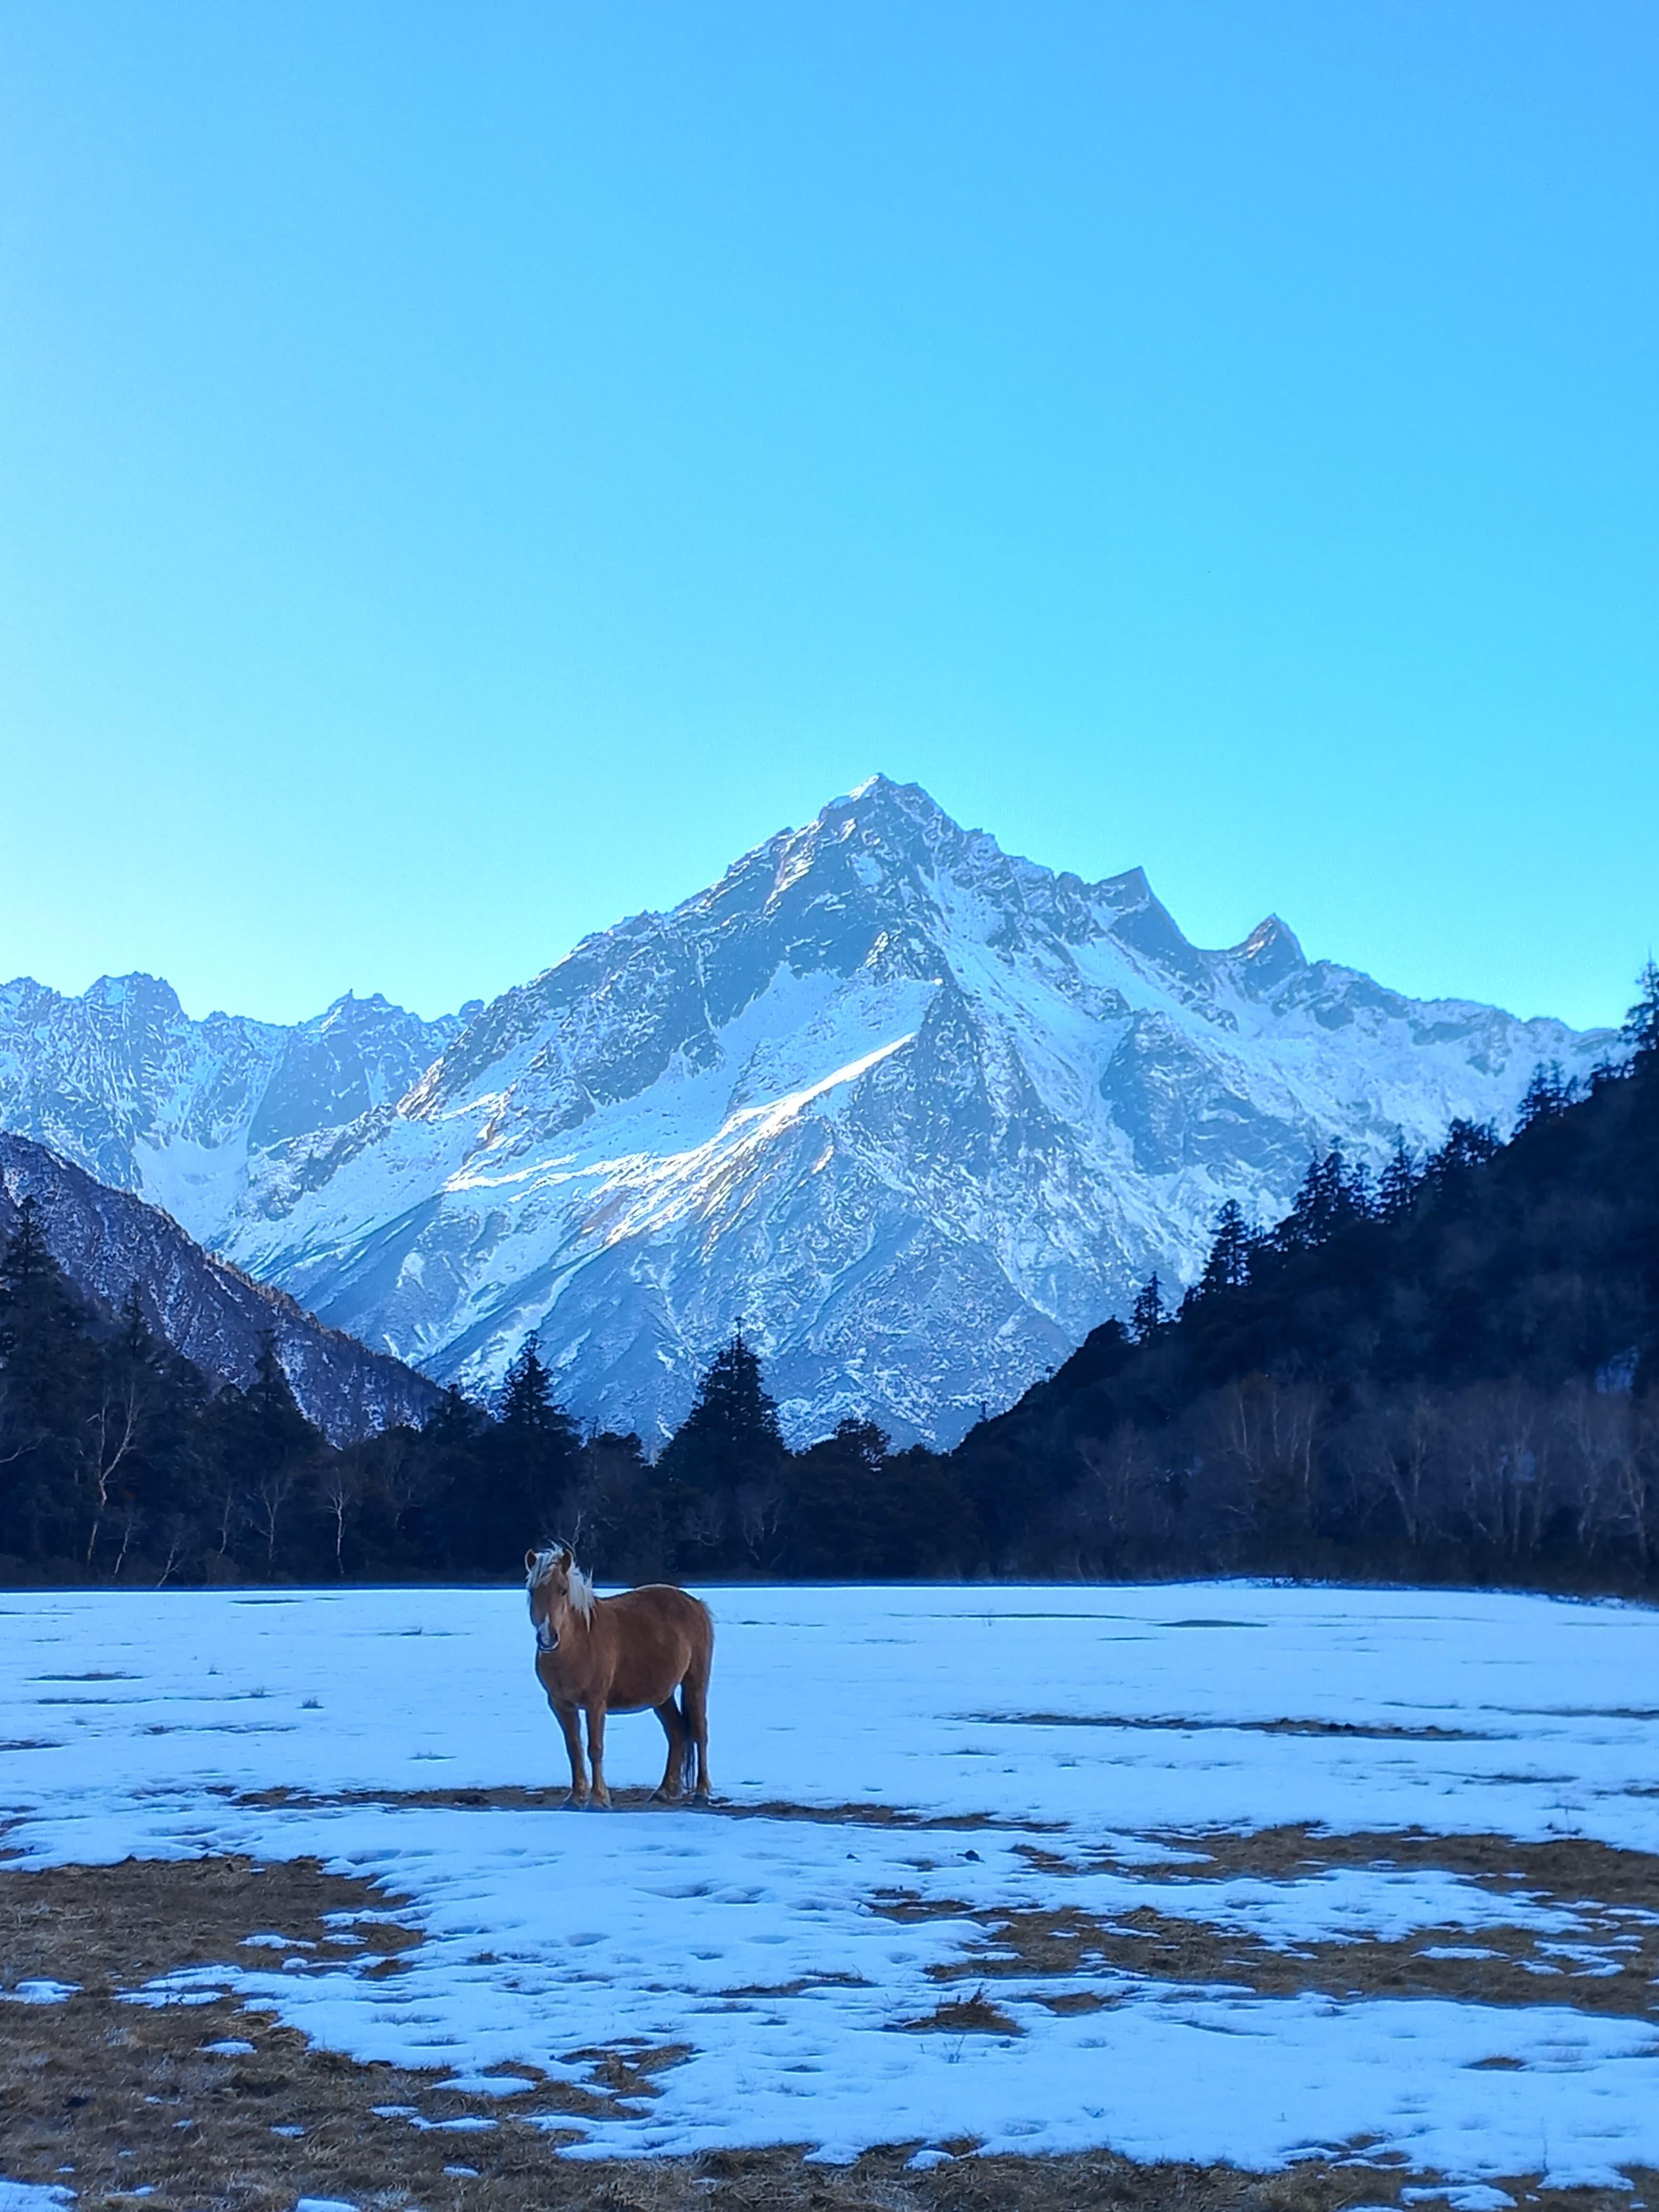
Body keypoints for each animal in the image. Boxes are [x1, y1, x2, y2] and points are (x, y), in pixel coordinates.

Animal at [526, 1548, 716, 1805]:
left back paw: (701, 1791)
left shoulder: (596, 1703)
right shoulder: (560, 1704)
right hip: (661, 1695)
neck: (578, 1643)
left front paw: (598, 1799)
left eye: (563, 1590)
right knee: (677, 1731)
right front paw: (576, 1797)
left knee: (700, 1732)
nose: (547, 1638)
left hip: (695, 1683)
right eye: (532, 1590)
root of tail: (696, 1604)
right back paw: (664, 1790)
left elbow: (595, 1748)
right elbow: (574, 1748)